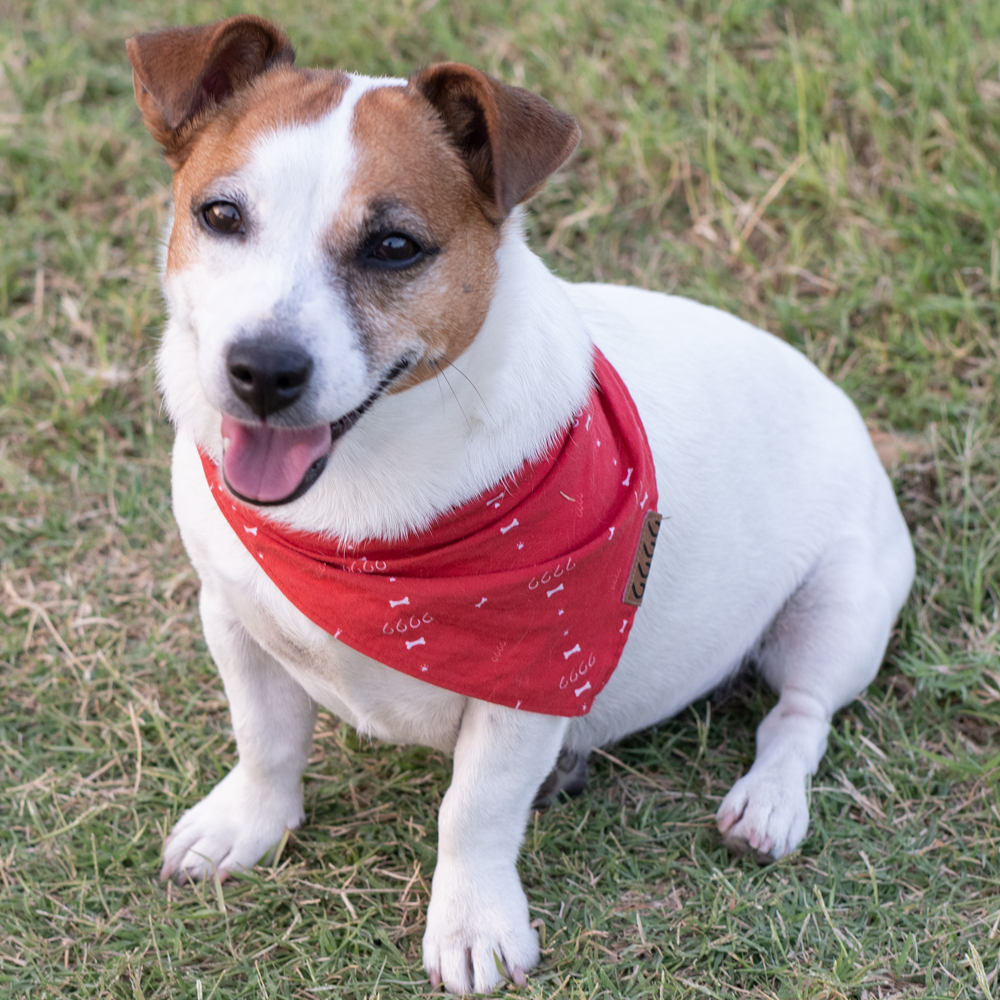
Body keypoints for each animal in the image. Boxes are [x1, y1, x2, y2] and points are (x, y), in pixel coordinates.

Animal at [127, 15, 916, 992]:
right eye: (220, 216)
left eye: (395, 247)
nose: (262, 371)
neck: (357, 507)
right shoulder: (234, 619)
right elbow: (265, 739)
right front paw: (250, 824)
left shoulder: (530, 679)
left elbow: (473, 811)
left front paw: (472, 924)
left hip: (838, 612)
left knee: (800, 715)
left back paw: (768, 802)